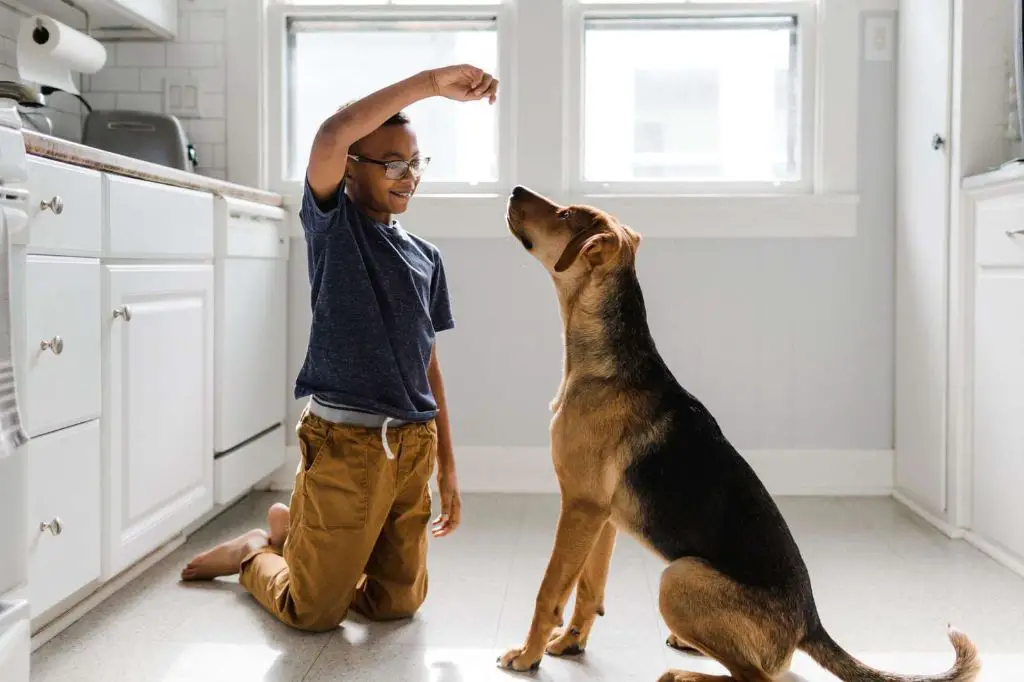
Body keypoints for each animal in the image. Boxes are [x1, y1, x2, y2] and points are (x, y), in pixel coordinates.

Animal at [499, 182, 978, 679]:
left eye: (565, 214)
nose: (514, 190)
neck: (608, 361)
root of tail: (809, 624)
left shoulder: (580, 506)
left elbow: (550, 590)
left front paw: (528, 654)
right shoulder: (602, 516)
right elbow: (588, 591)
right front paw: (570, 643)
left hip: (678, 577)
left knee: (756, 676)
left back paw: (682, 673)